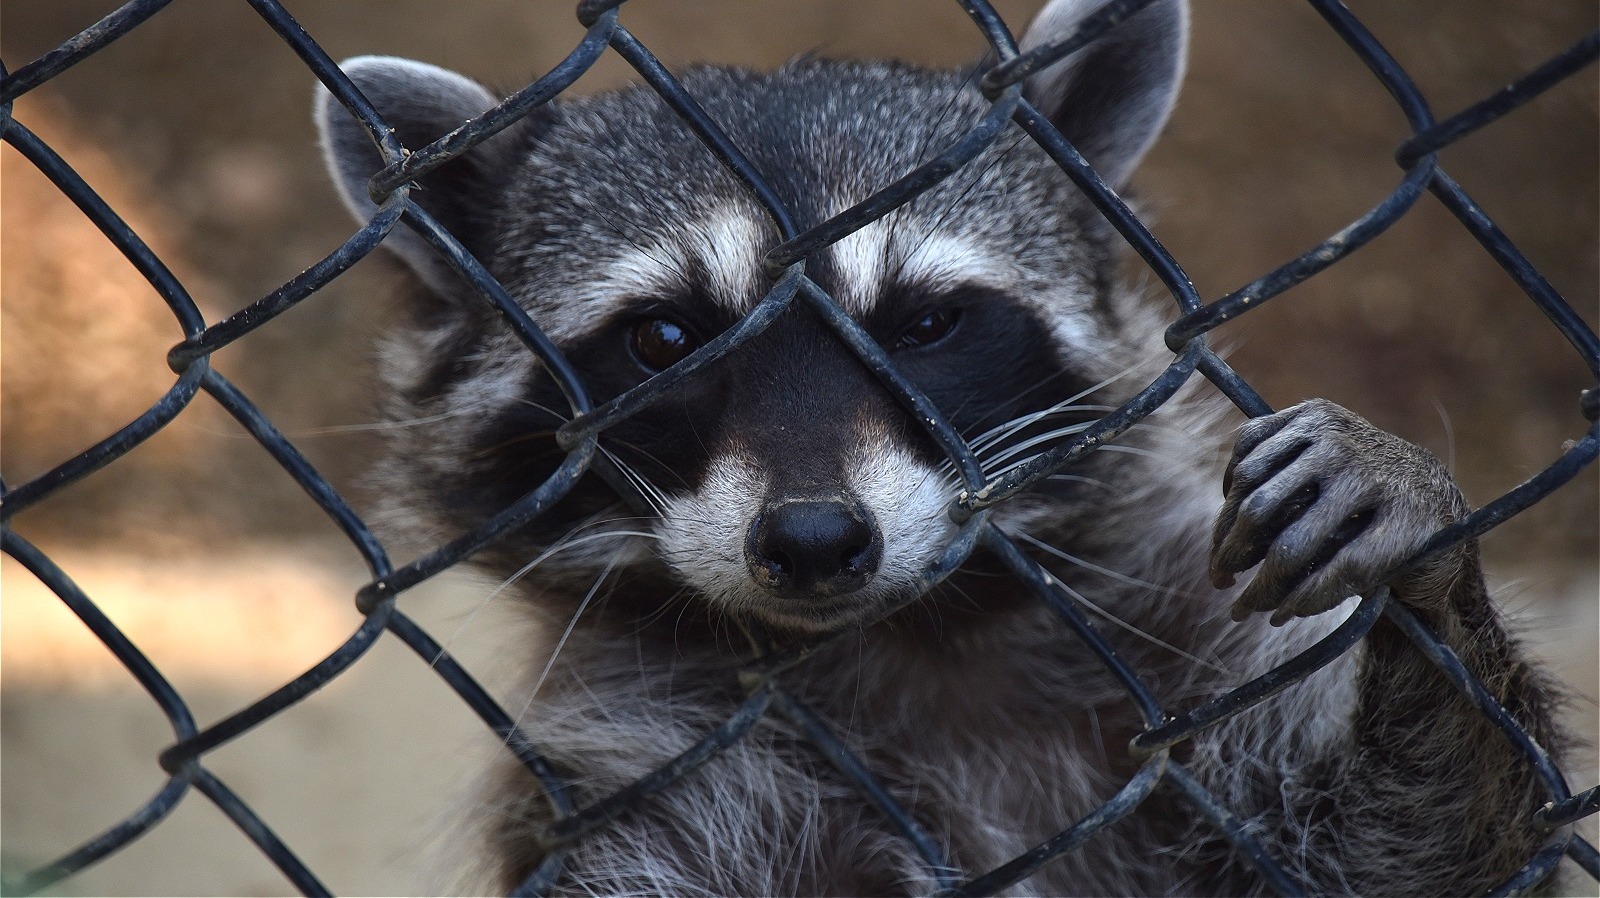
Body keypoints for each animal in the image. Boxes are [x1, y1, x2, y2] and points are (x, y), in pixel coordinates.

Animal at [316, 0, 1566, 893]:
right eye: (665, 339)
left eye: (922, 324)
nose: (815, 541)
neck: (907, 631)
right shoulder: (646, 771)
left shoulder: (1180, 654)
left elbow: (1421, 851)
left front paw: (1413, 524)